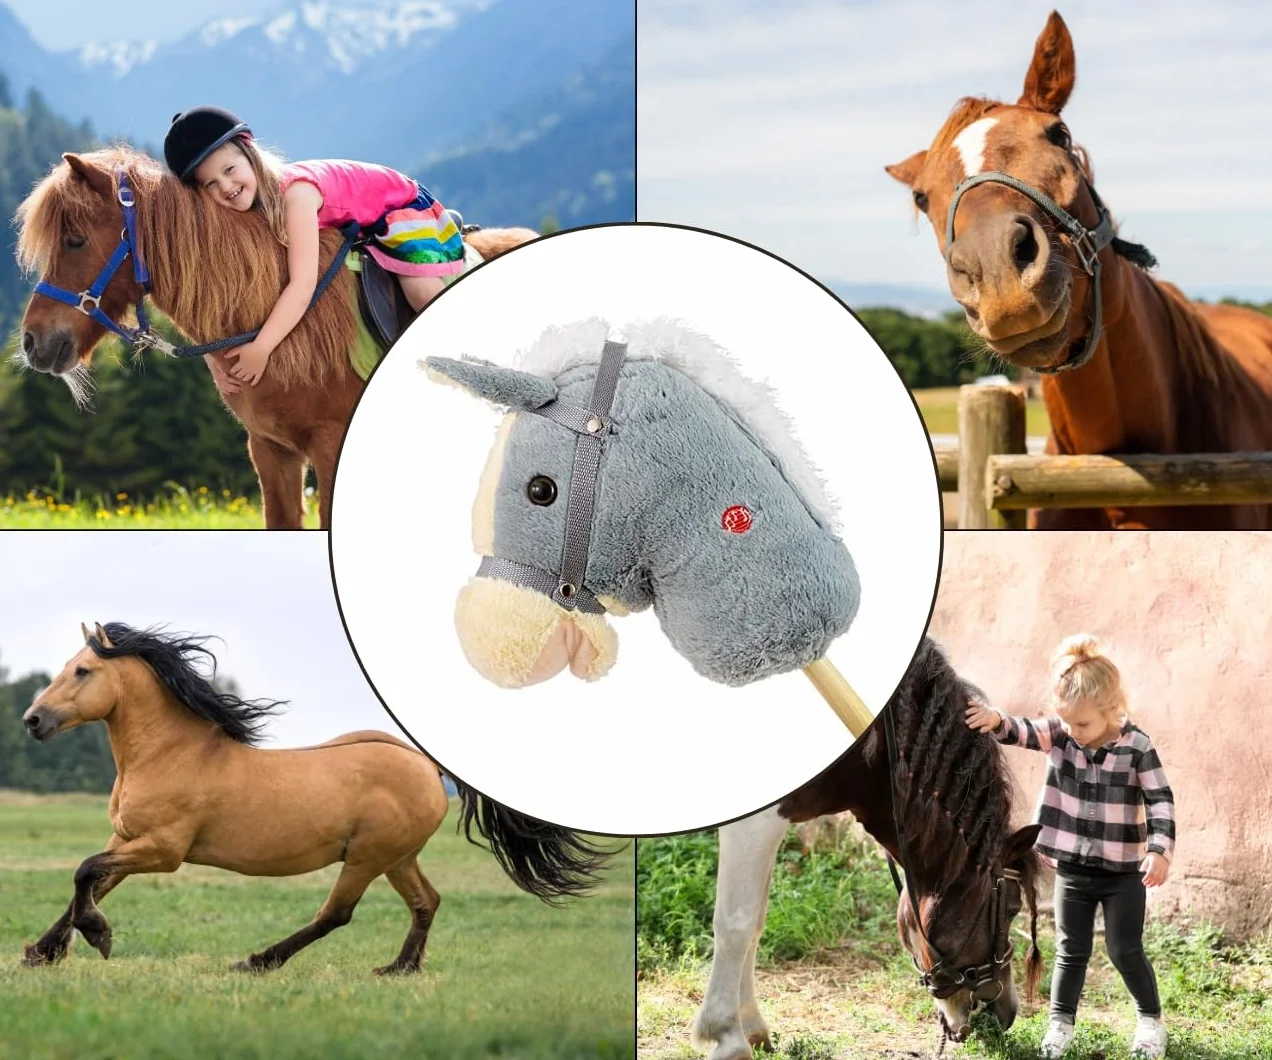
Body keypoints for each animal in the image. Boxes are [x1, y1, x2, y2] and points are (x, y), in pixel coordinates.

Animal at [19, 622, 609, 974]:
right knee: (426, 902)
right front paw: (41, 952)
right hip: (398, 857)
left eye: (83, 670)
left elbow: (85, 872)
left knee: (336, 914)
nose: (33, 720)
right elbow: (90, 882)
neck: (171, 753)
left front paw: (97, 937)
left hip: (367, 856)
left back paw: (258, 961)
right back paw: (399, 968)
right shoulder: (127, 839)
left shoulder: (163, 850)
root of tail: (426, 765)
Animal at [691, 639, 1043, 1058]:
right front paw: (727, 1034)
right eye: (1011, 910)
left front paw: (752, 1026)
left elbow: (756, 923)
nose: (1006, 1013)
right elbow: (737, 925)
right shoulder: (754, 823)